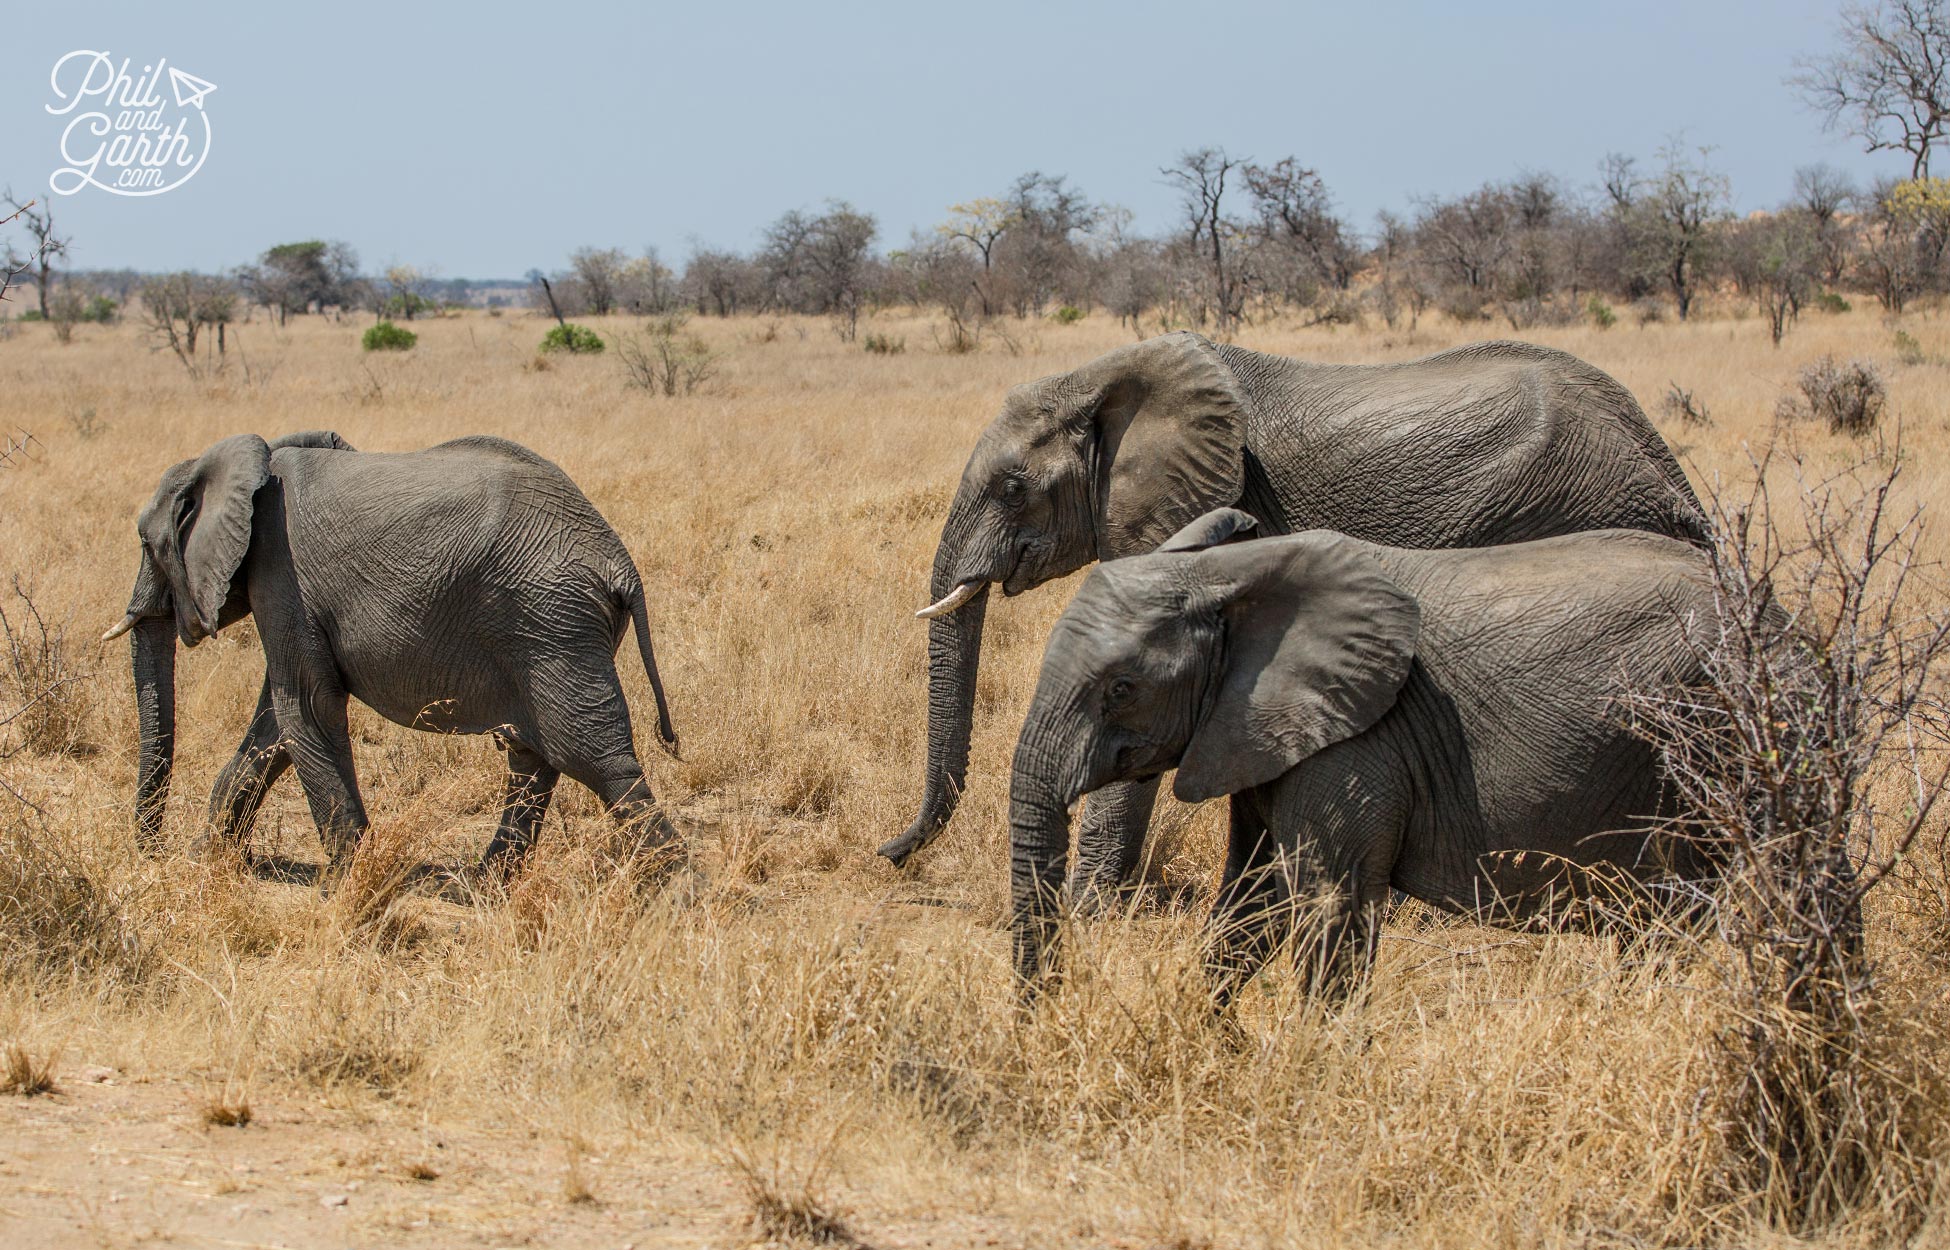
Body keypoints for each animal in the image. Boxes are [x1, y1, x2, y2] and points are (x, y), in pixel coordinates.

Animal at [110, 432, 686, 881]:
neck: (255, 458)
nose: (153, 851)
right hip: (549, 628)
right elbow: (277, 723)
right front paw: (206, 861)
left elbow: (306, 708)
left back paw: (676, 889)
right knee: (533, 754)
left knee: (594, 758)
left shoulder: (281, 572)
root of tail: (621, 565)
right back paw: (483, 885)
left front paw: (354, 882)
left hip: (551, 620)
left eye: (145, 543)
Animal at [998, 503, 1716, 998]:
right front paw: (1217, 1046)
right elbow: (1251, 903)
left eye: (1121, 689)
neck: (1229, 576)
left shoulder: (1359, 739)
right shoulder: (1265, 731)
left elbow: (1327, 911)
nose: (1047, 1005)